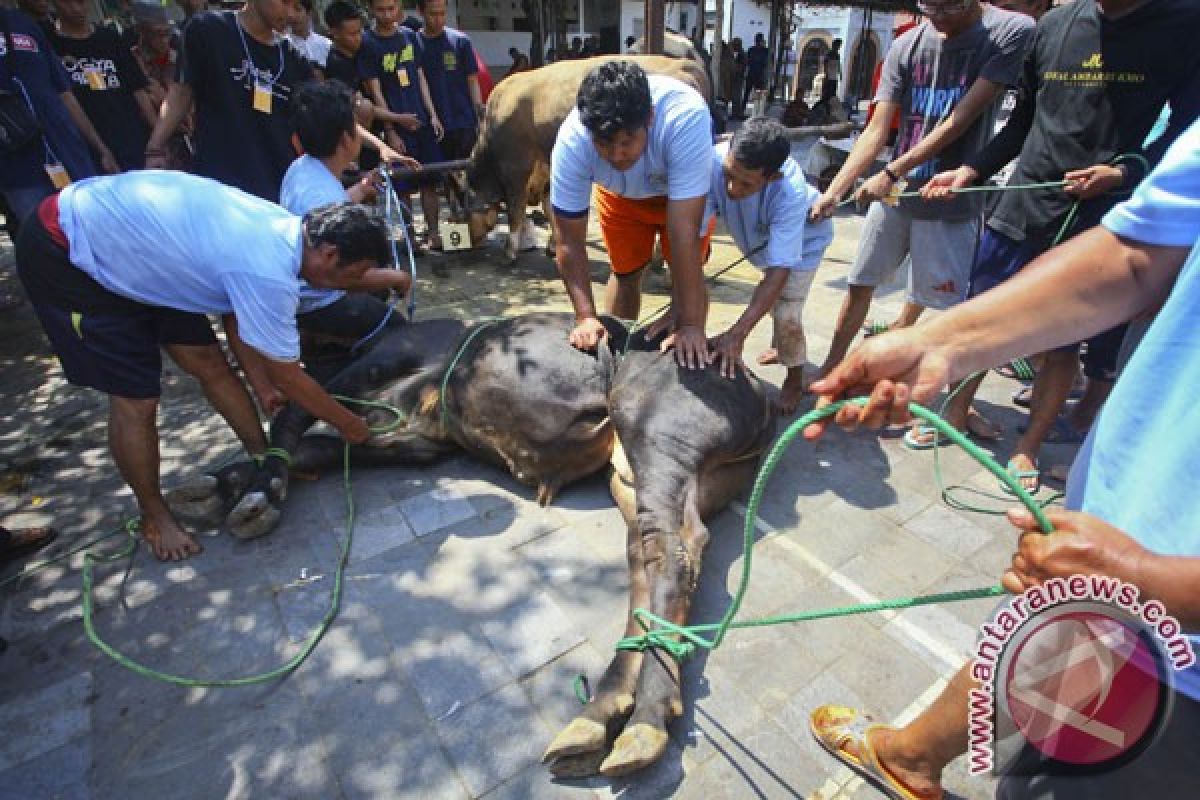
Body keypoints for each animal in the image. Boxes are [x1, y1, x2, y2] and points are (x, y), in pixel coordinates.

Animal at [169, 311, 772, 777]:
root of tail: (755, 386)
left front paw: (252, 494)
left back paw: (643, 721)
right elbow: (323, 446)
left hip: (655, 432)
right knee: (652, 558)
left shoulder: (375, 369)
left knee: (673, 552)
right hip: (637, 475)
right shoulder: (422, 438)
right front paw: (220, 485)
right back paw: (597, 718)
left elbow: (291, 419)